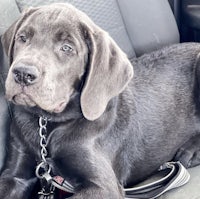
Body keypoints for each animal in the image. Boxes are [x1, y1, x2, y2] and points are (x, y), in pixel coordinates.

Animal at [0, 3, 200, 199]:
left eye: (67, 48)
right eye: (22, 38)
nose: (23, 74)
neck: (48, 124)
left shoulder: (102, 186)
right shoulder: (15, 175)